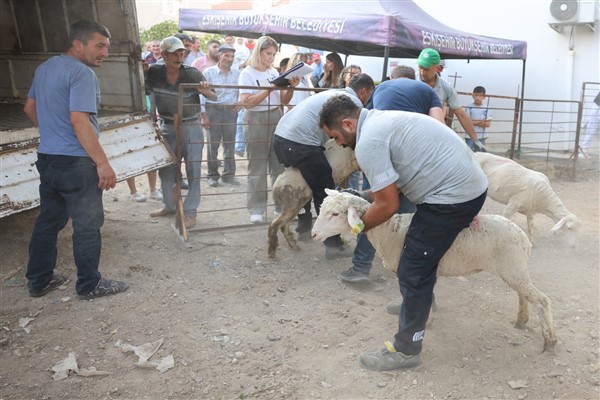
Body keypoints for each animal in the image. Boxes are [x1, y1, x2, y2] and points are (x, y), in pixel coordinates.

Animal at [312, 190, 556, 354]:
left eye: (335, 214)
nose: (314, 234)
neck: (388, 230)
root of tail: (524, 237)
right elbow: (429, 295)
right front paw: (429, 316)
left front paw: (423, 322)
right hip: (514, 268)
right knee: (523, 294)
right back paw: (522, 320)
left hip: (513, 266)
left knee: (542, 300)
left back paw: (550, 342)